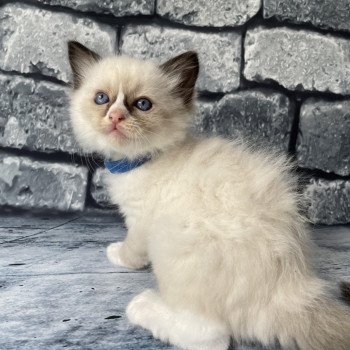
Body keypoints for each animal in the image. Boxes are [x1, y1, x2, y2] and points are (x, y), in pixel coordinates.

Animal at [67, 41, 350, 350]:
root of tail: (290, 293)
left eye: (142, 104)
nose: (115, 117)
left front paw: (118, 254)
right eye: (101, 98)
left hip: (170, 244)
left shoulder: (140, 222)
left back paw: (142, 306)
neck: (143, 159)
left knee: (209, 336)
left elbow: (132, 249)